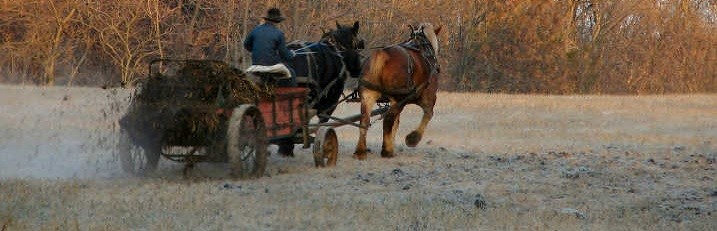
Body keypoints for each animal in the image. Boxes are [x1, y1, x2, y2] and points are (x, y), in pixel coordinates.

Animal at [354, 23, 440, 159]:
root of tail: (382, 54)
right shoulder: (428, 97)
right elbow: (428, 114)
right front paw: (412, 139)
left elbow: (396, 124)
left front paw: (392, 142)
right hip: (398, 98)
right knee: (387, 120)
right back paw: (387, 151)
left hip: (368, 96)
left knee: (364, 121)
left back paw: (360, 151)